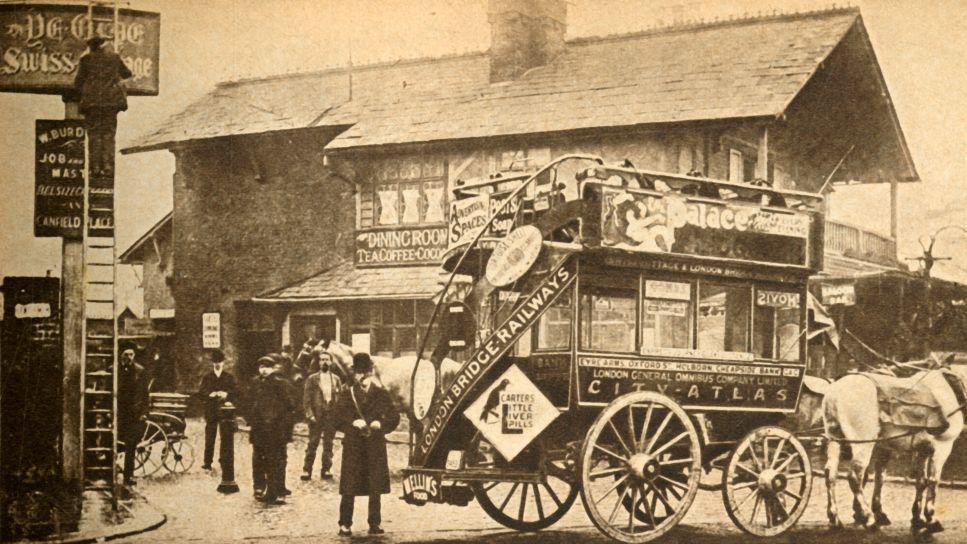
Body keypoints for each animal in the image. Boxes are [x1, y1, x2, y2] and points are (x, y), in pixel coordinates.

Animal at [820, 360, 964, 536]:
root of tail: (835, 390)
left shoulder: (922, 450)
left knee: (830, 474)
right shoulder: (943, 446)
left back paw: (834, 518)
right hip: (863, 444)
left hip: (835, 438)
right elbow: (933, 481)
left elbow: (921, 481)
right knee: (855, 476)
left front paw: (917, 519)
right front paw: (931, 520)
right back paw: (869, 519)